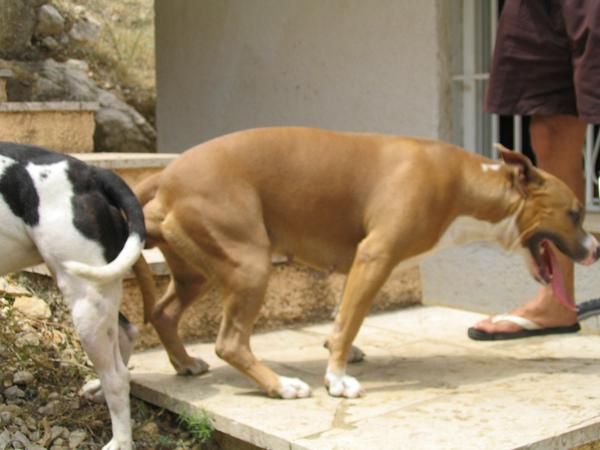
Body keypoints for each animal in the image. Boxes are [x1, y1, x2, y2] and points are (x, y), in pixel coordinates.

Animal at [0, 142, 145, 450]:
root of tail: (89, 173)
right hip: (100, 291)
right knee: (124, 334)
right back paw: (99, 390)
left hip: (84, 298)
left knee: (117, 377)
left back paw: (120, 440)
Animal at [134, 125, 596, 398]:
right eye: (575, 213)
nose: (595, 247)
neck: (467, 185)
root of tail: (167, 174)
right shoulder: (376, 256)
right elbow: (349, 321)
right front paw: (336, 378)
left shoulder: (361, 261)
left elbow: (343, 315)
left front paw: (338, 351)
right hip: (250, 263)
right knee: (231, 341)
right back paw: (281, 386)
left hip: (197, 272)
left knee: (164, 312)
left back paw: (184, 362)